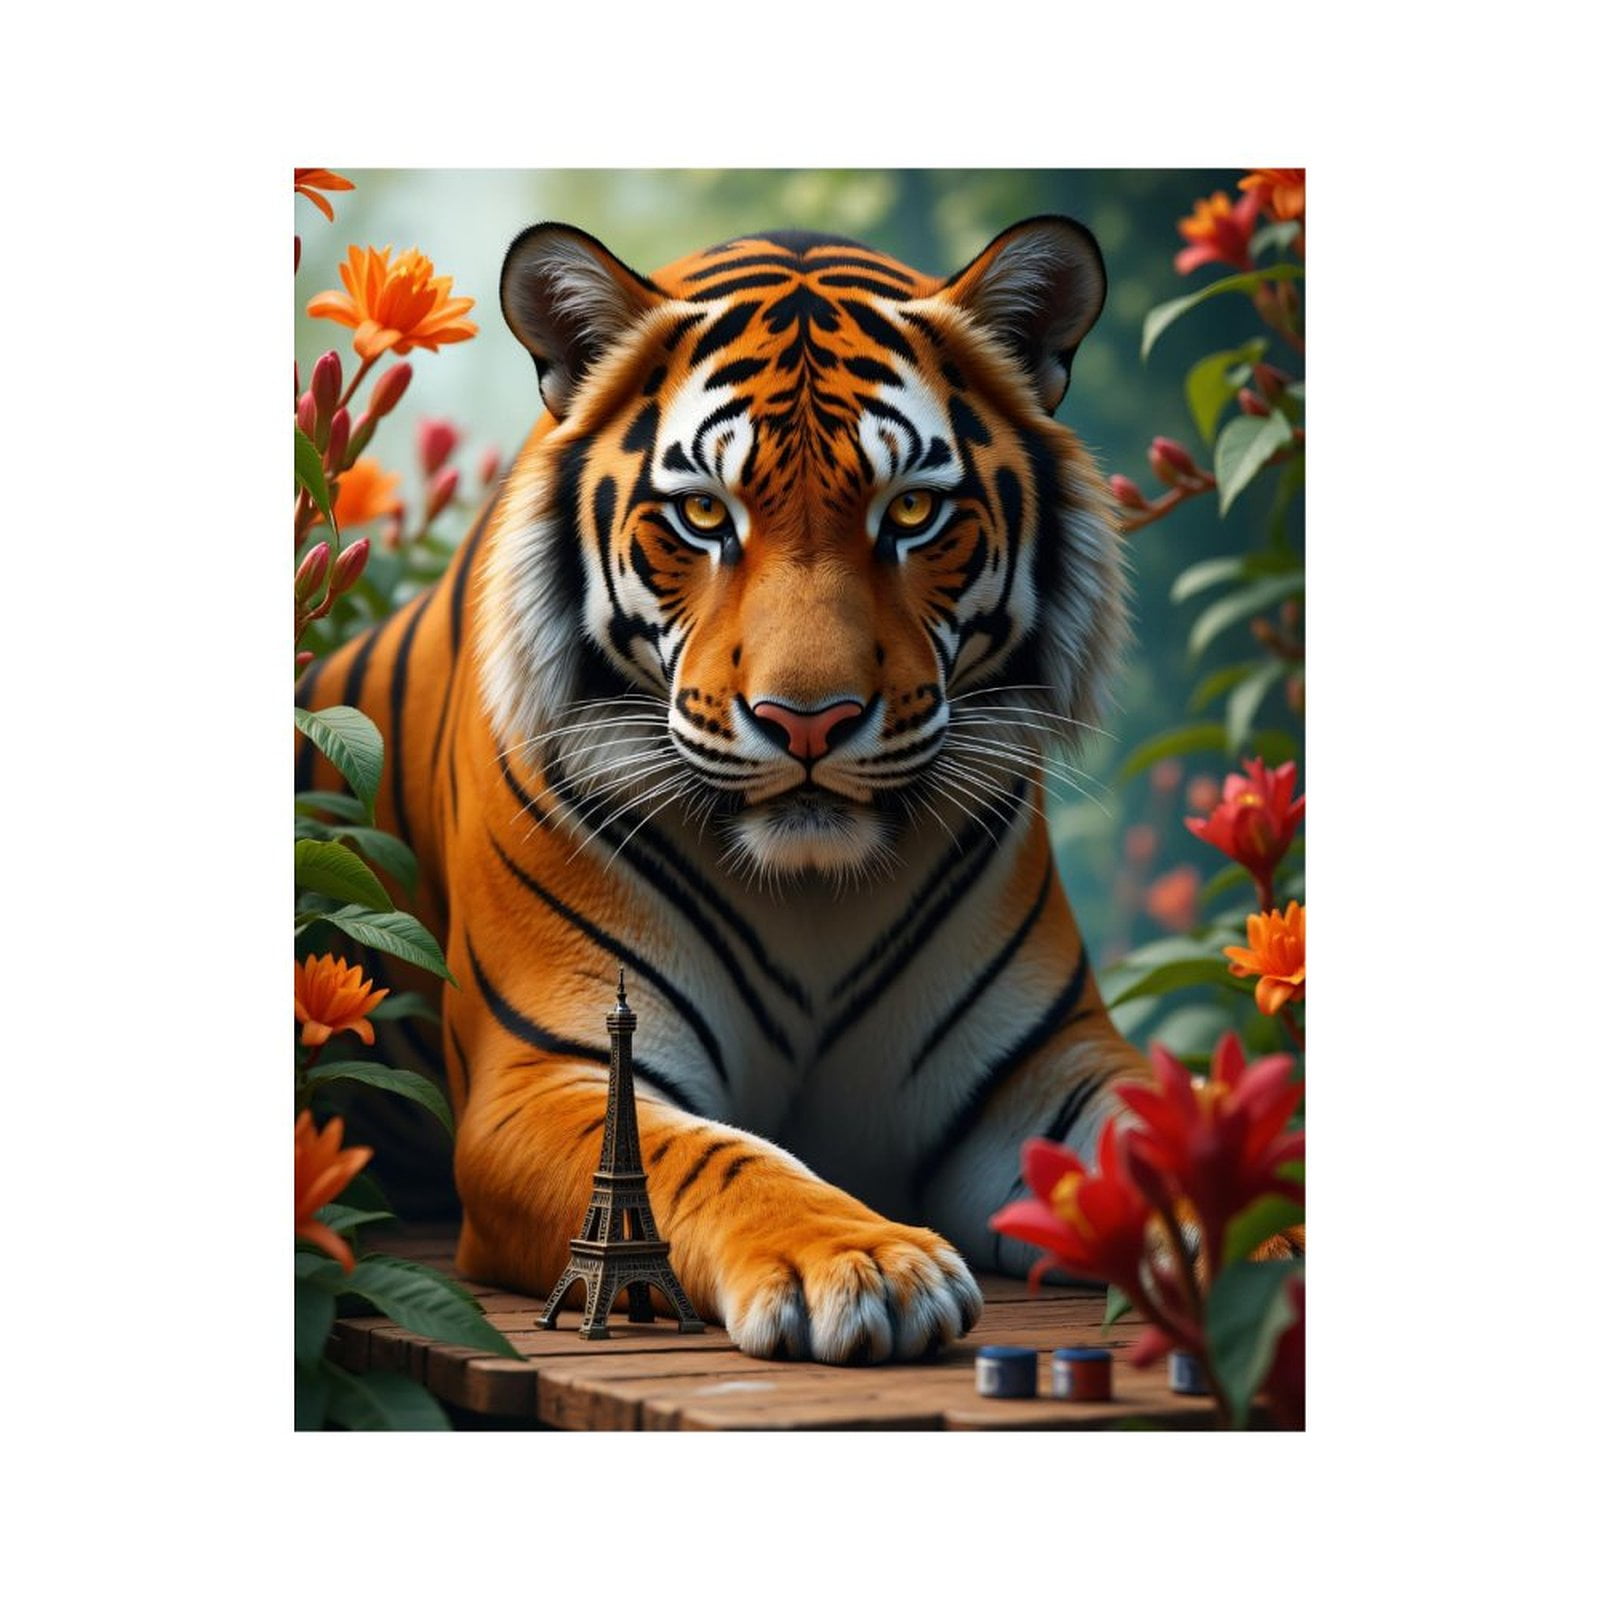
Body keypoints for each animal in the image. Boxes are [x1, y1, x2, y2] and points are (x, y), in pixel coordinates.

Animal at [295, 215, 1154, 1365]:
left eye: (913, 511)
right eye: (703, 513)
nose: (809, 721)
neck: (813, 895)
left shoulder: (1042, 1077)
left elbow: (1166, 1128)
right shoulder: (550, 1072)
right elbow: (711, 1156)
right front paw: (862, 1262)